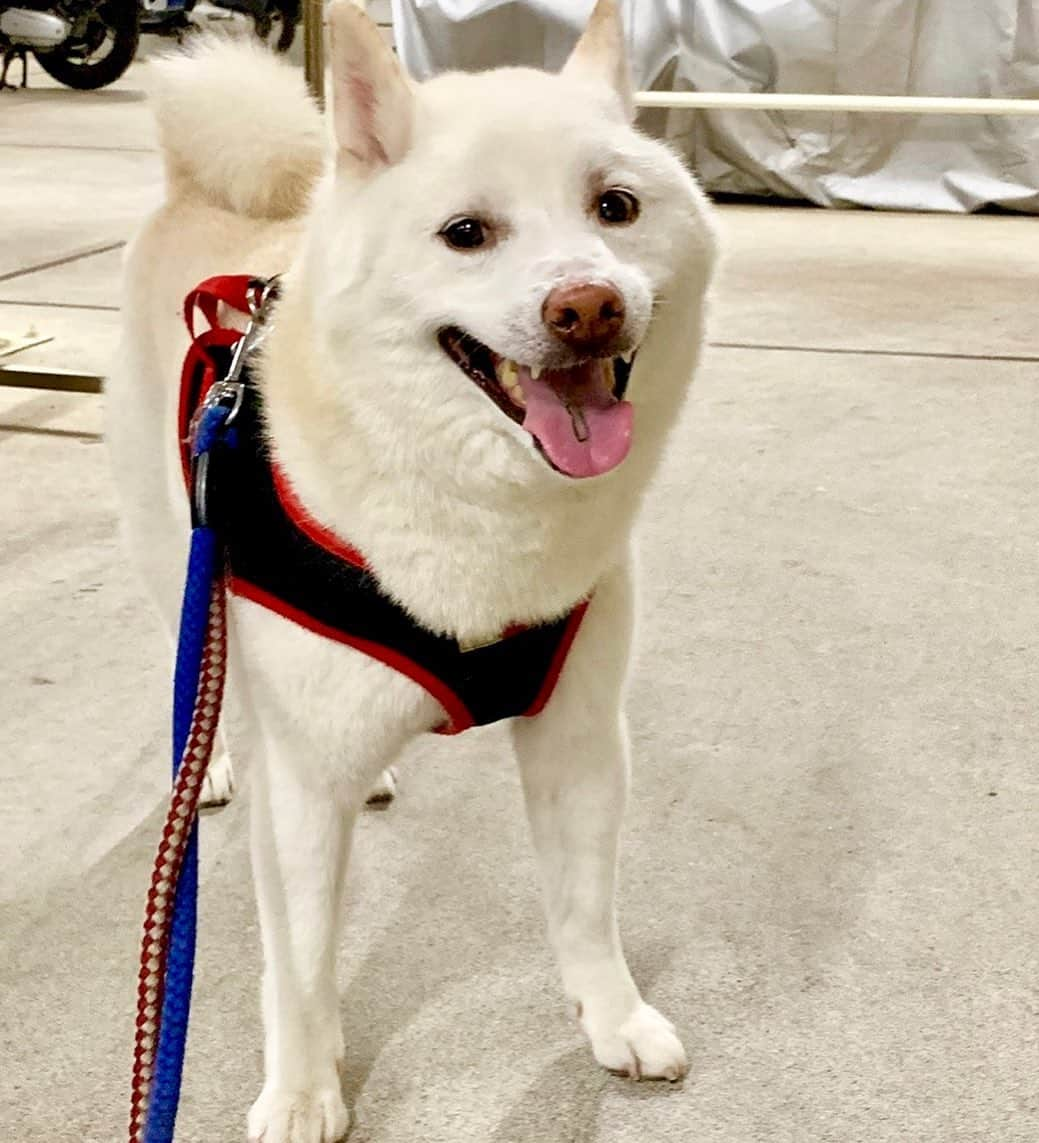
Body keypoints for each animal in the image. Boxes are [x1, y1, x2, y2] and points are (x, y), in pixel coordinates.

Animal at [109, 4, 717, 1138]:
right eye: (465, 234)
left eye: (614, 208)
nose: (587, 307)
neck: (482, 519)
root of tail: (195, 189)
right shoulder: (303, 797)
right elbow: (302, 969)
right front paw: (303, 1091)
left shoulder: (578, 738)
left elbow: (586, 906)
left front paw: (611, 1016)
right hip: (178, 554)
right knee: (202, 672)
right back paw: (214, 763)